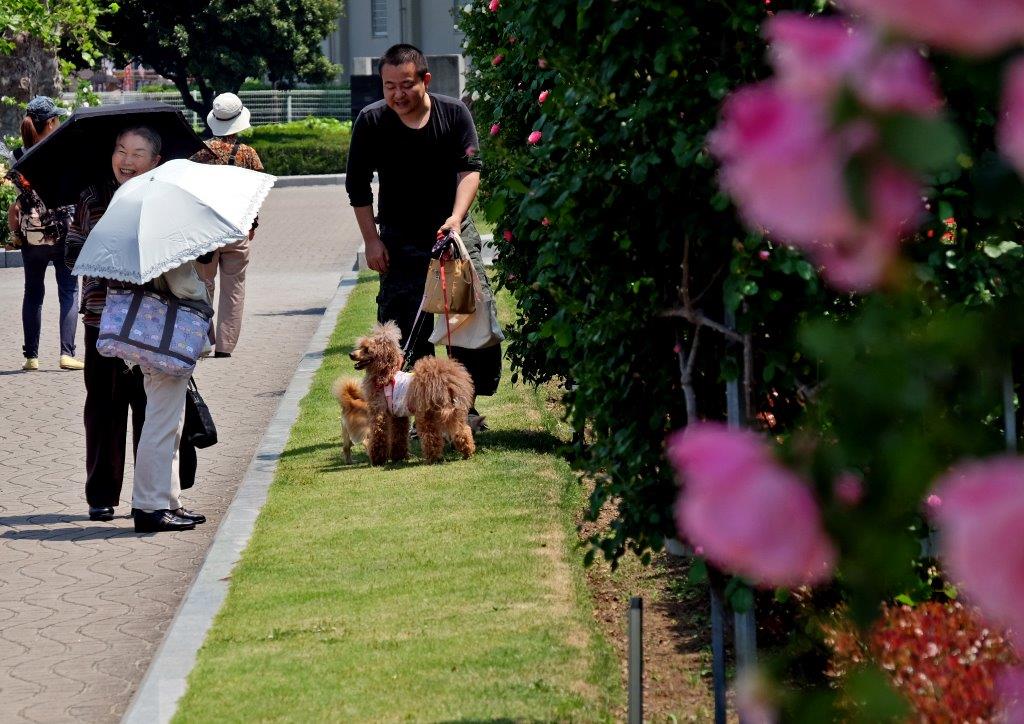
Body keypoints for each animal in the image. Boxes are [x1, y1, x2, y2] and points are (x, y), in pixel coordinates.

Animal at [335, 323, 479, 464]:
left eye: (366, 349)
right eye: (360, 347)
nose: (351, 354)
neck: (385, 374)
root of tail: (444, 380)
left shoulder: (379, 413)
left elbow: (379, 436)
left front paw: (378, 459)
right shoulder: (397, 415)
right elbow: (398, 436)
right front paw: (399, 456)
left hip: (426, 414)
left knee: (431, 436)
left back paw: (432, 458)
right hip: (448, 410)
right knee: (462, 429)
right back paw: (468, 451)